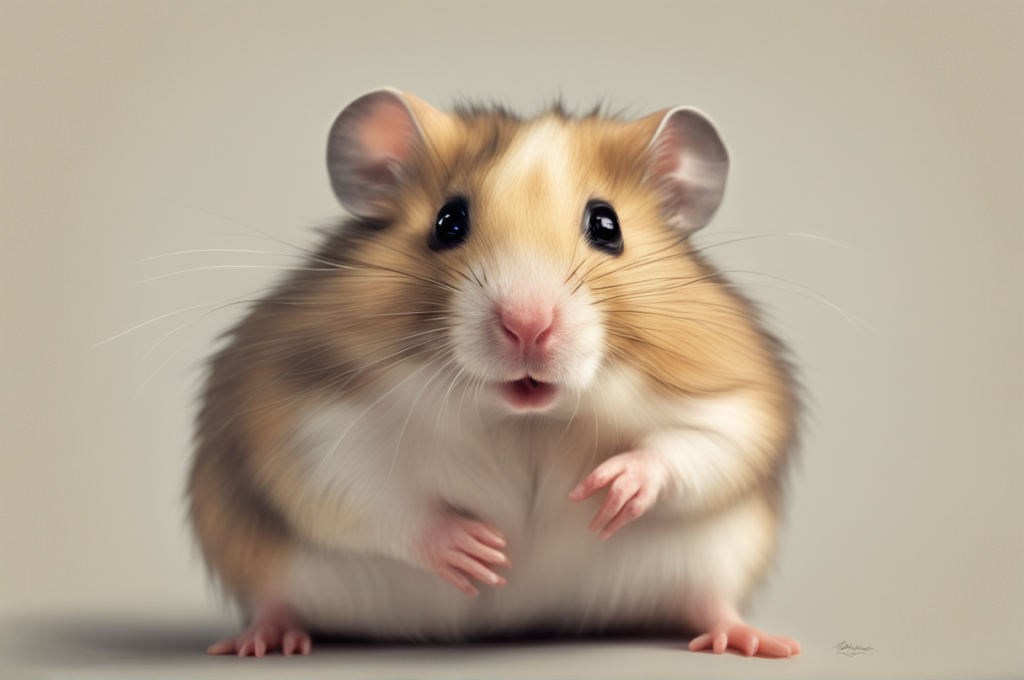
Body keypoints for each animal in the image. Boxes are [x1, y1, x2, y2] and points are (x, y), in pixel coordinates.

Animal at [190, 88, 801, 658]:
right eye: (448, 221)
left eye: (608, 225)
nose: (527, 326)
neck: (524, 420)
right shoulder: (303, 422)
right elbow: (371, 495)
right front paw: (481, 551)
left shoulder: (739, 398)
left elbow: (701, 444)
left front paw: (609, 491)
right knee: (277, 600)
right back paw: (259, 643)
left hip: (711, 563)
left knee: (709, 600)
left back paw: (756, 641)